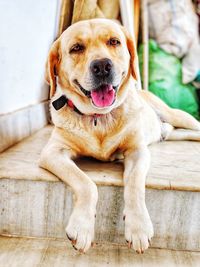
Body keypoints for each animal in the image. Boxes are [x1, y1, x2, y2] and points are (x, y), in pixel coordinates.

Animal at [39, 18, 200, 253]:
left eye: (114, 41)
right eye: (76, 48)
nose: (102, 66)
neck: (99, 118)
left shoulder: (137, 150)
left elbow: (134, 183)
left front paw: (139, 226)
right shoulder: (53, 152)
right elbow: (86, 184)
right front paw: (82, 226)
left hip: (179, 116)